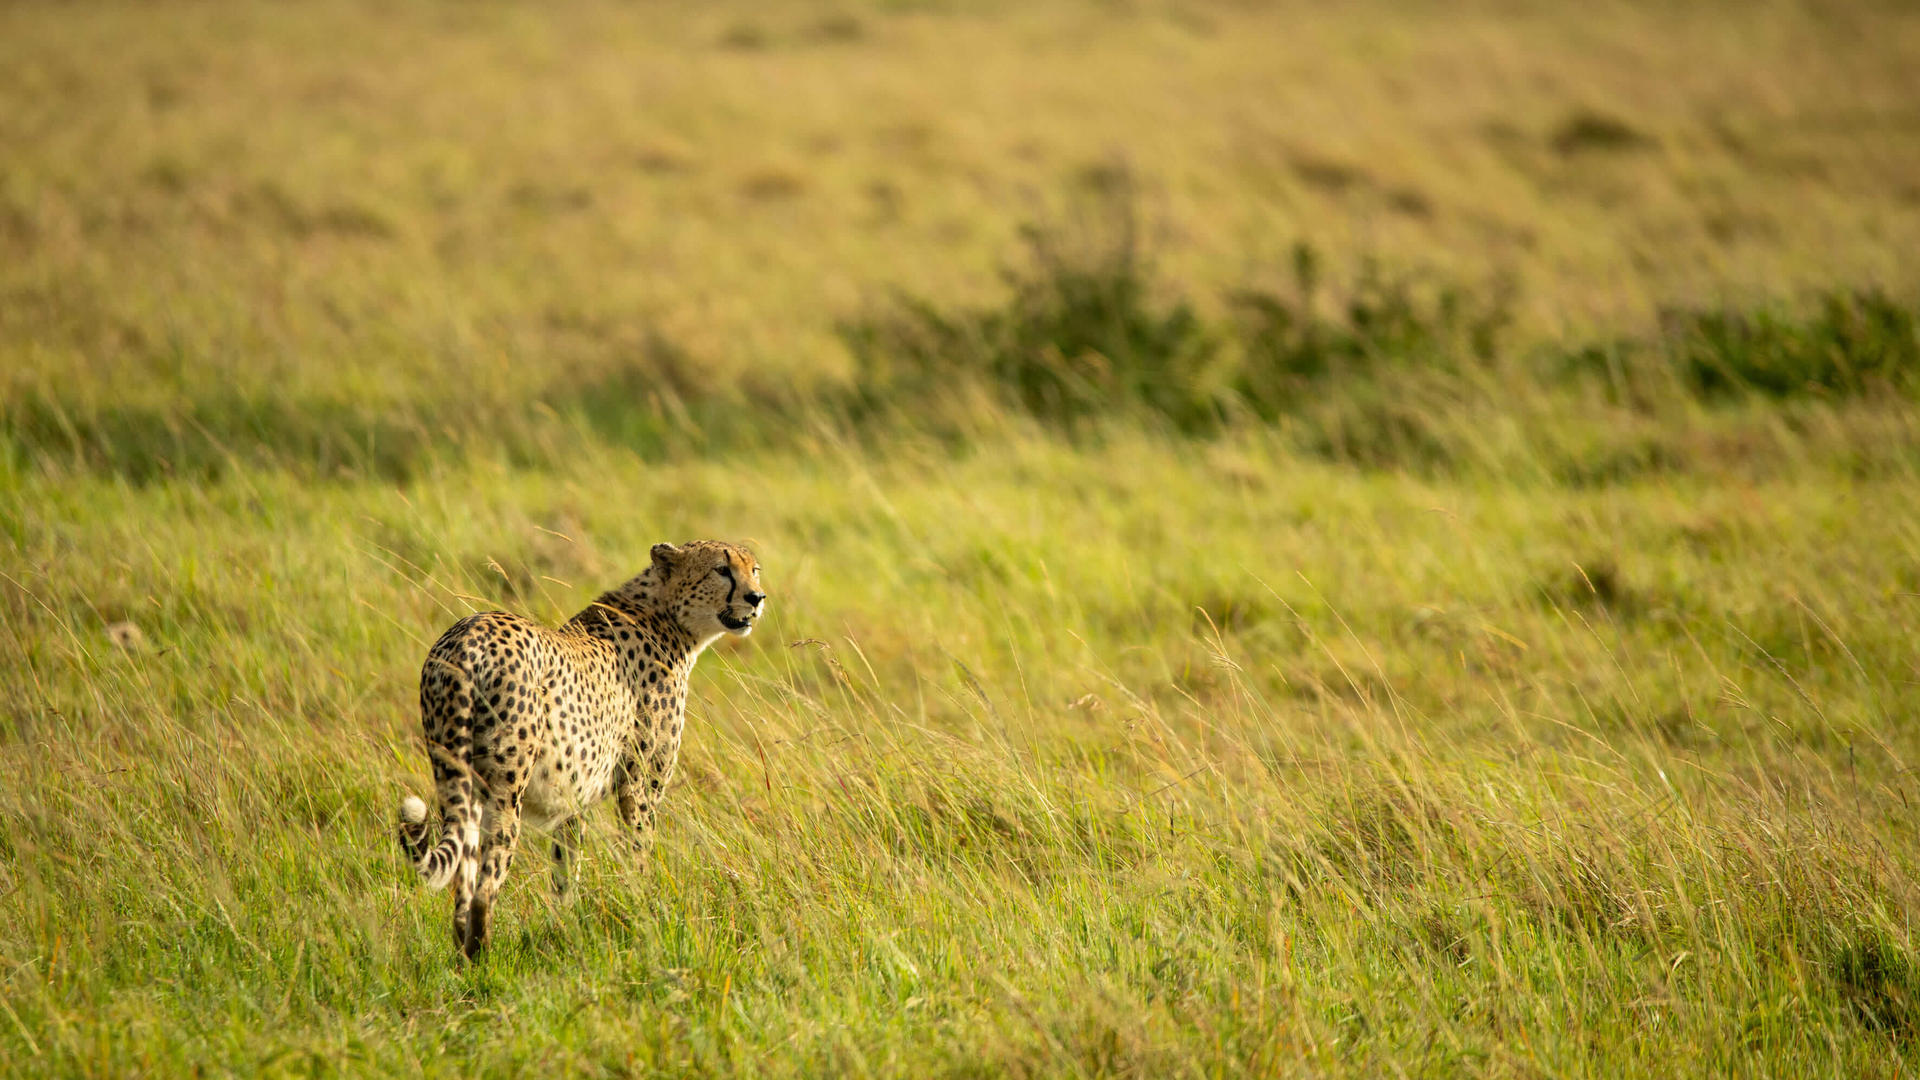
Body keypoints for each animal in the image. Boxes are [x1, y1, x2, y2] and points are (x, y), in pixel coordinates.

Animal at [395, 539, 765, 958]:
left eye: (754, 570)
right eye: (722, 569)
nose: (757, 598)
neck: (665, 616)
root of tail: (468, 635)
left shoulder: (573, 796)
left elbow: (566, 869)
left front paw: (564, 928)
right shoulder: (640, 788)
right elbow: (639, 852)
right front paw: (646, 910)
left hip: (455, 775)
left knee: (463, 879)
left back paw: (464, 957)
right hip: (506, 790)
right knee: (486, 886)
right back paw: (484, 961)